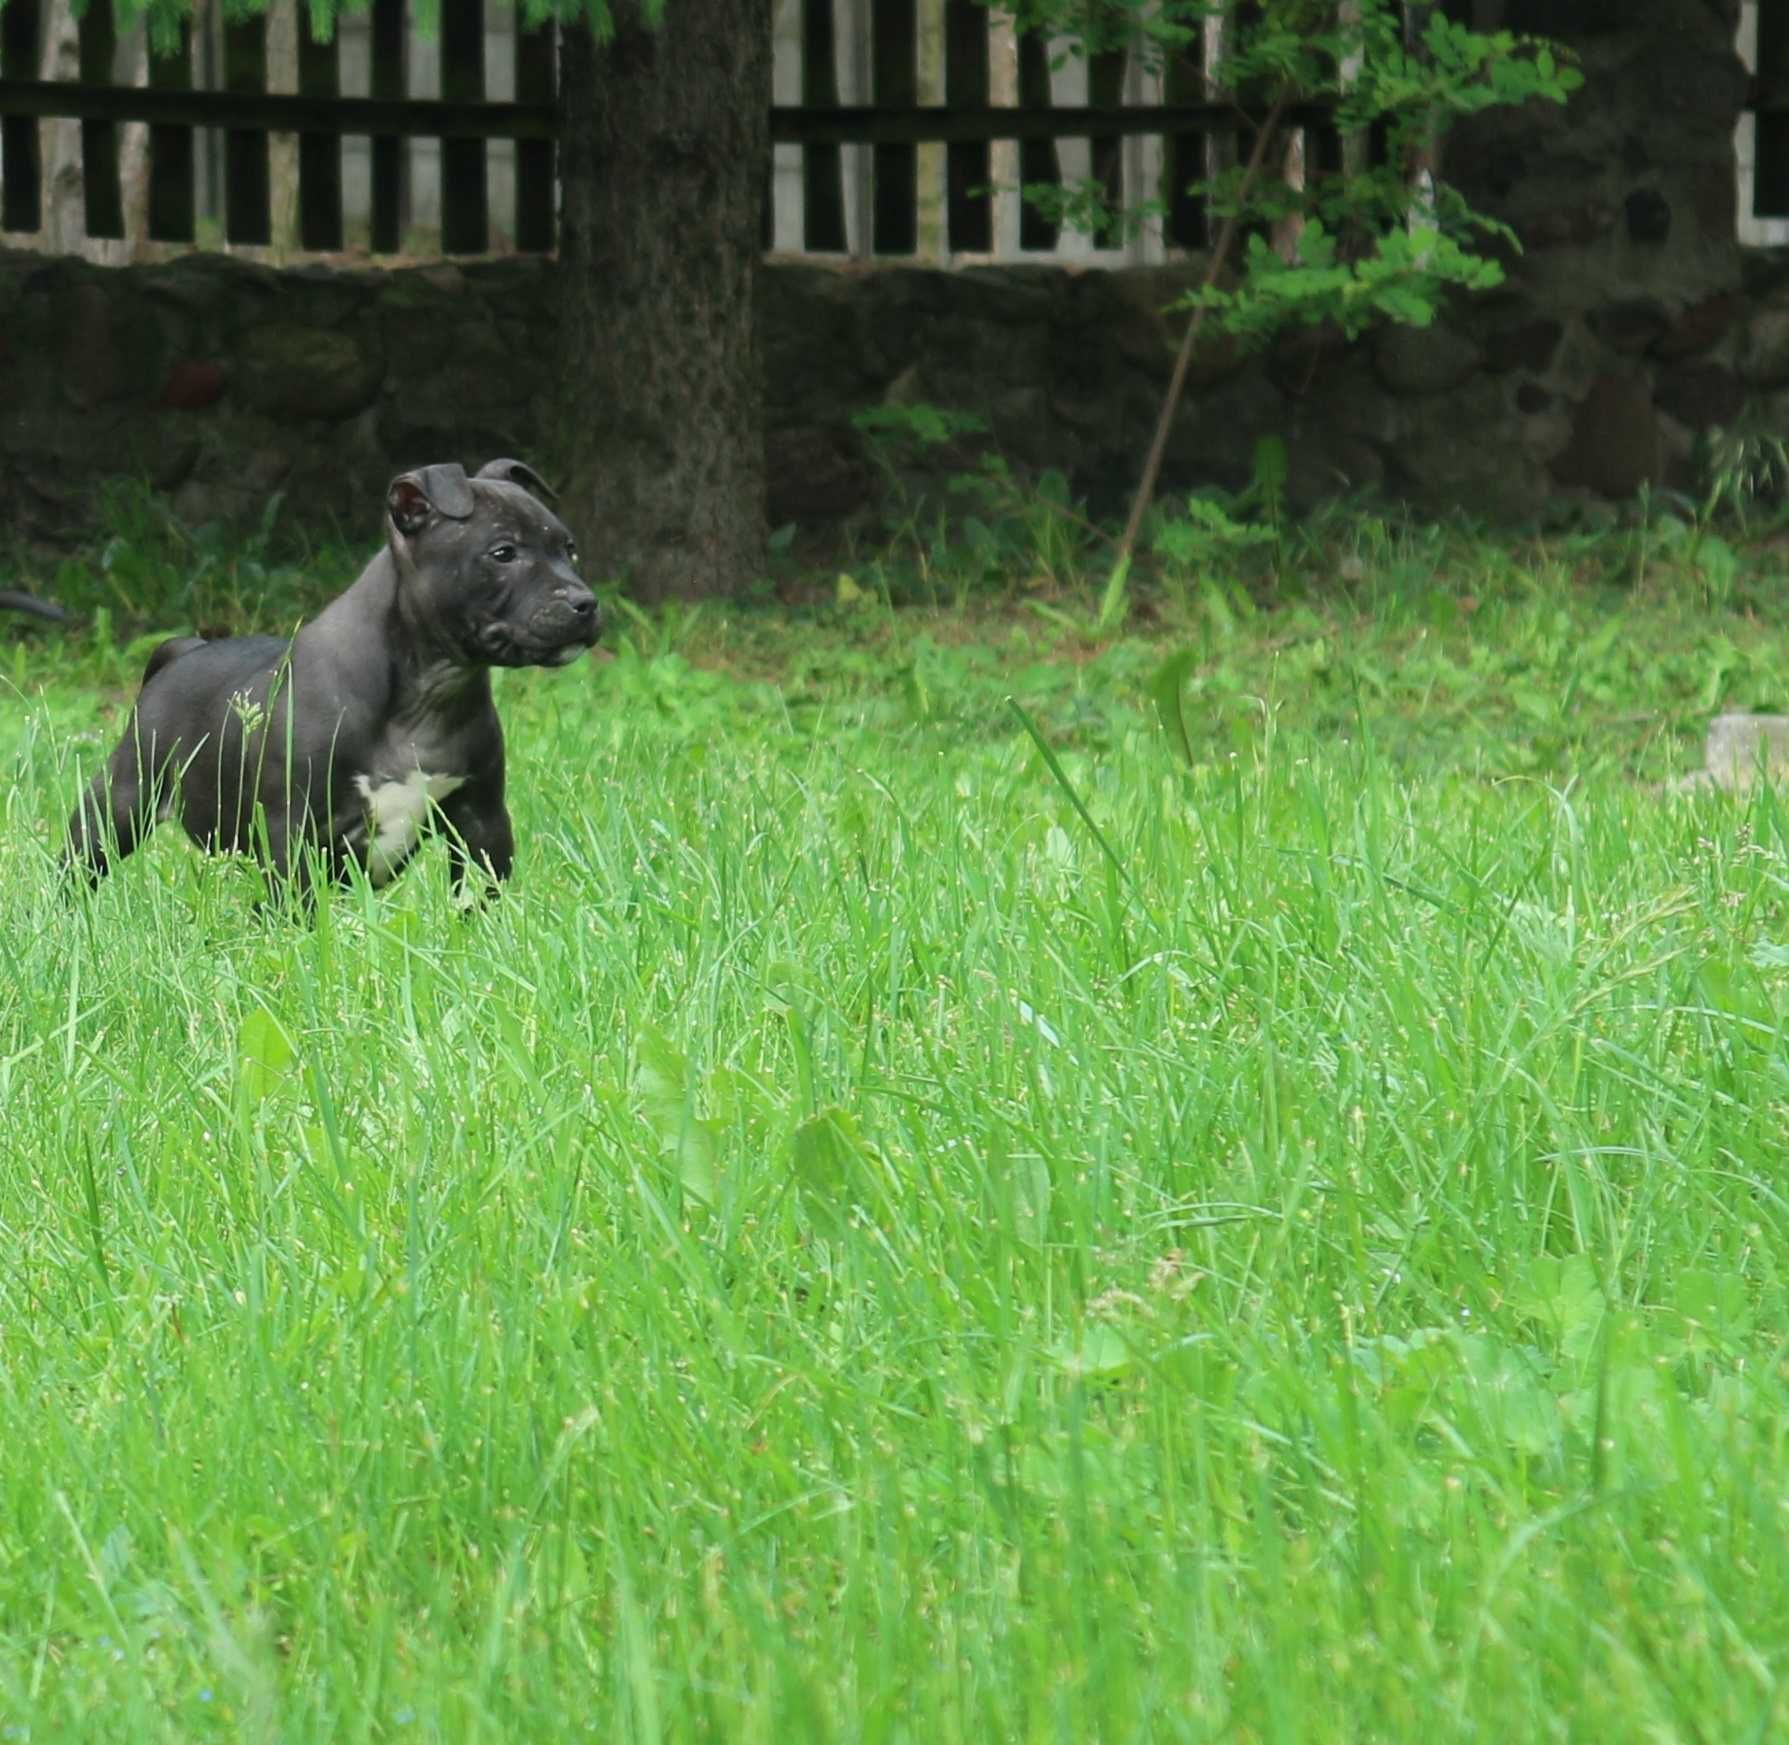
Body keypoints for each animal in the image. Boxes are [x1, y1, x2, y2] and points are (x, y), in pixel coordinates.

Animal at [69, 456, 601, 902]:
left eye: (571, 550)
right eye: (503, 553)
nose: (586, 603)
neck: (431, 689)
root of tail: (185, 649)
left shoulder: (482, 818)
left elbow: (480, 897)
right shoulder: (293, 829)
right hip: (124, 797)